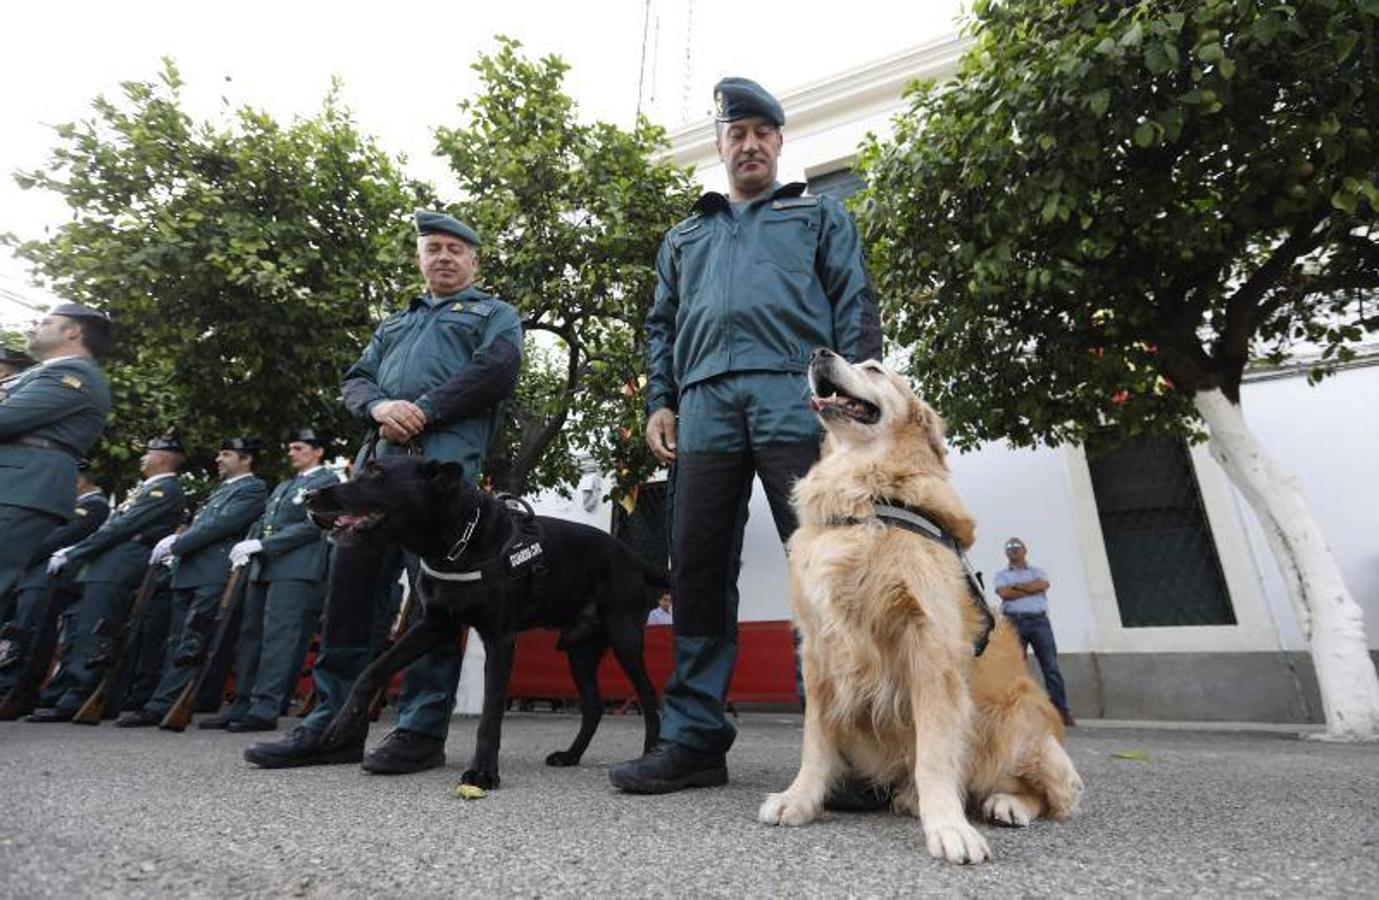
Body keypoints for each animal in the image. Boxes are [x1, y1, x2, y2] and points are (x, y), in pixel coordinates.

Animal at [310, 457, 664, 788]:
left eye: (376, 473)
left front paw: (482, 770)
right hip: (581, 652)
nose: (310, 496)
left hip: (625, 639)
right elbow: (373, 670)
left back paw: (650, 755)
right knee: (593, 707)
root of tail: (636, 560)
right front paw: (341, 724)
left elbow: (491, 713)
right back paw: (571, 755)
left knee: (648, 697)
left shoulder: (500, 640)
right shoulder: (433, 626)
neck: (456, 542)